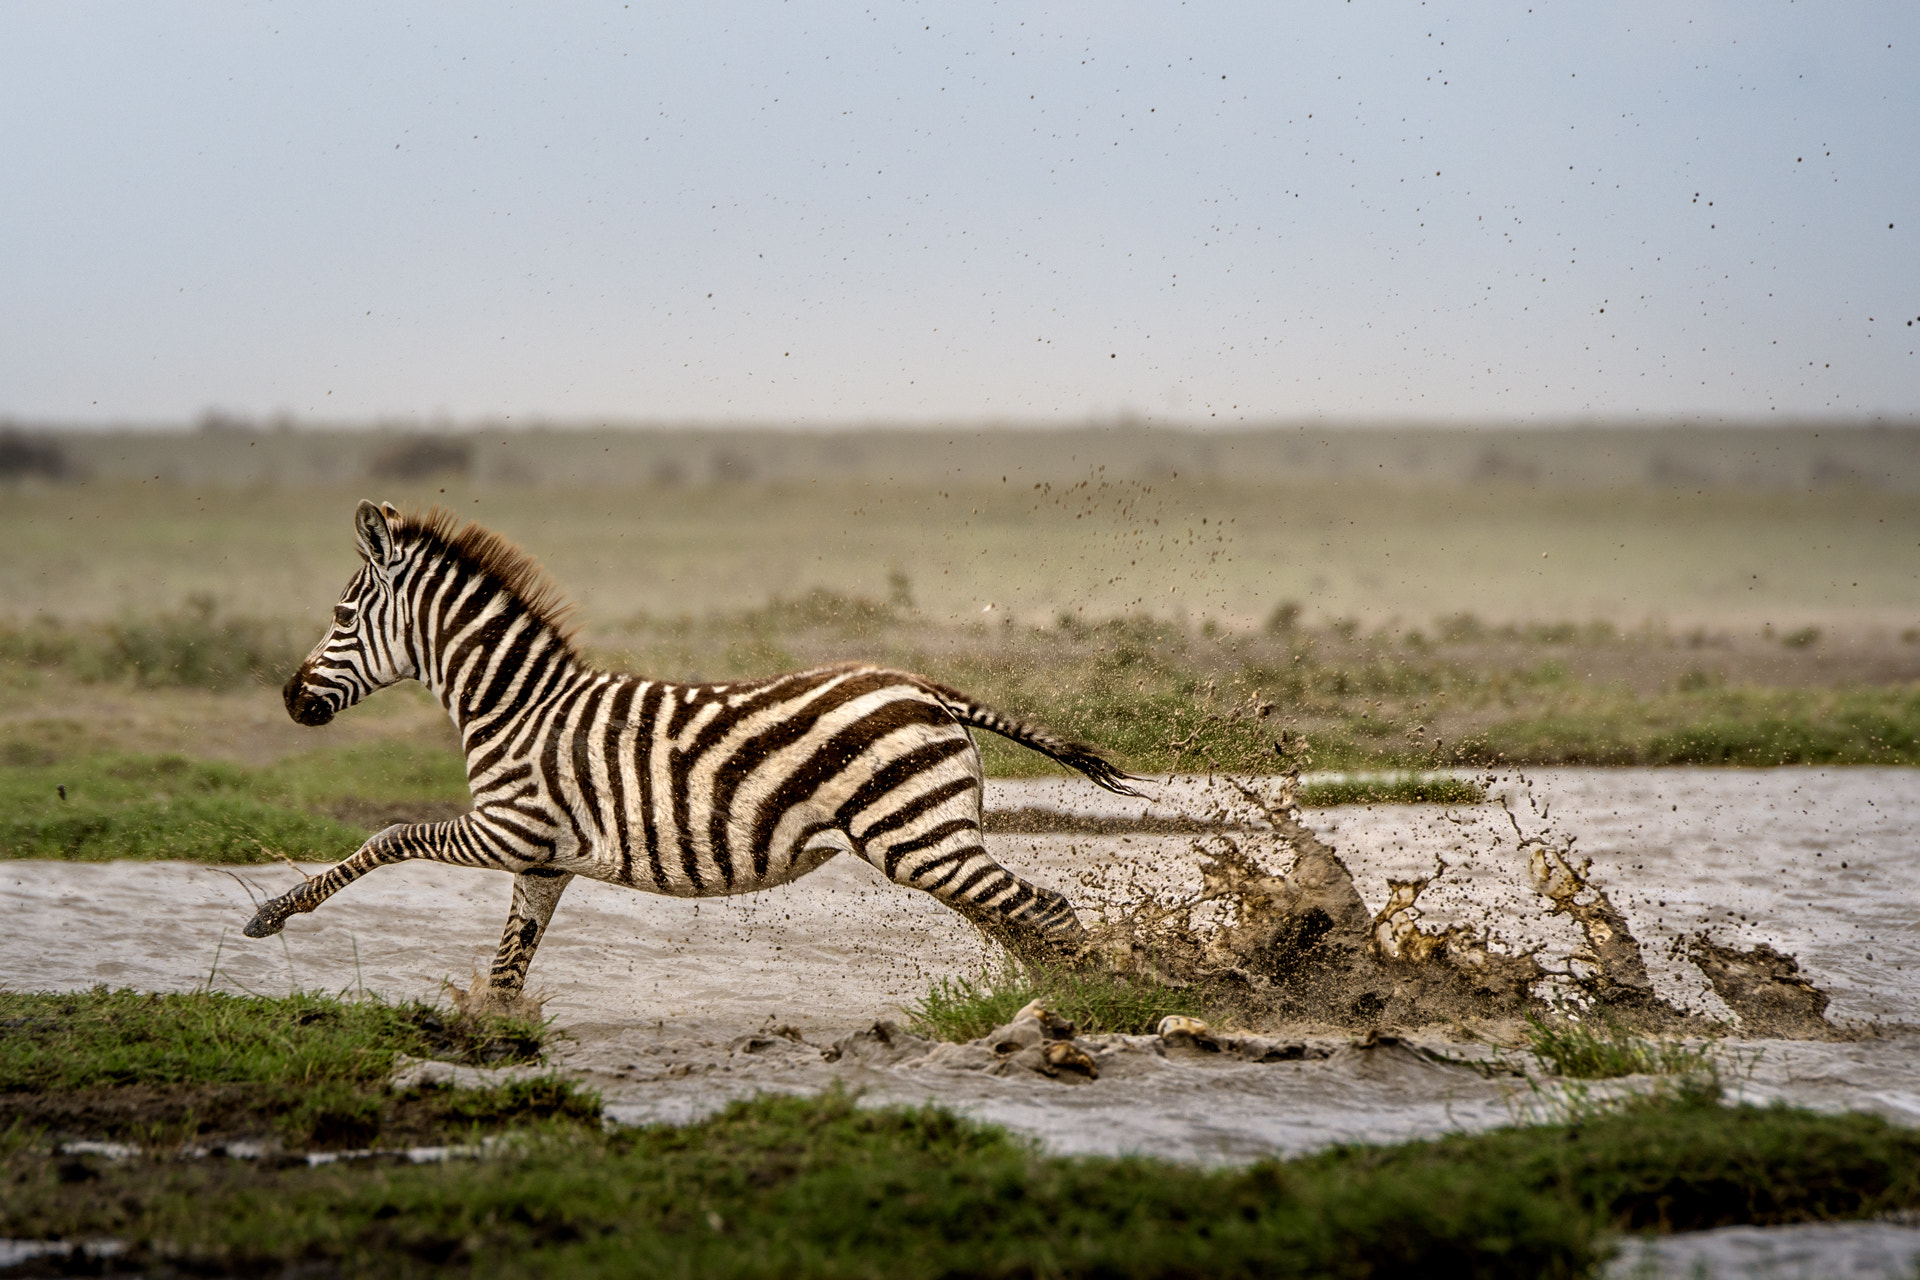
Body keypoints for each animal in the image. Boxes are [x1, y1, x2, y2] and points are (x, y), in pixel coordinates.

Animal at [247, 501, 1140, 1000]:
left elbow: (388, 835)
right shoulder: (542, 860)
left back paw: (1096, 1004)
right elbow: (509, 965)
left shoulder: (510, 826)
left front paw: (273, 912)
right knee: (1019, 919)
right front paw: (491, 1039)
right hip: (926, 840)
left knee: (1046, 911)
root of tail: (926, 686)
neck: (515, 703)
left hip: (918, 838)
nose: (288, 700)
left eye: (340, 616)